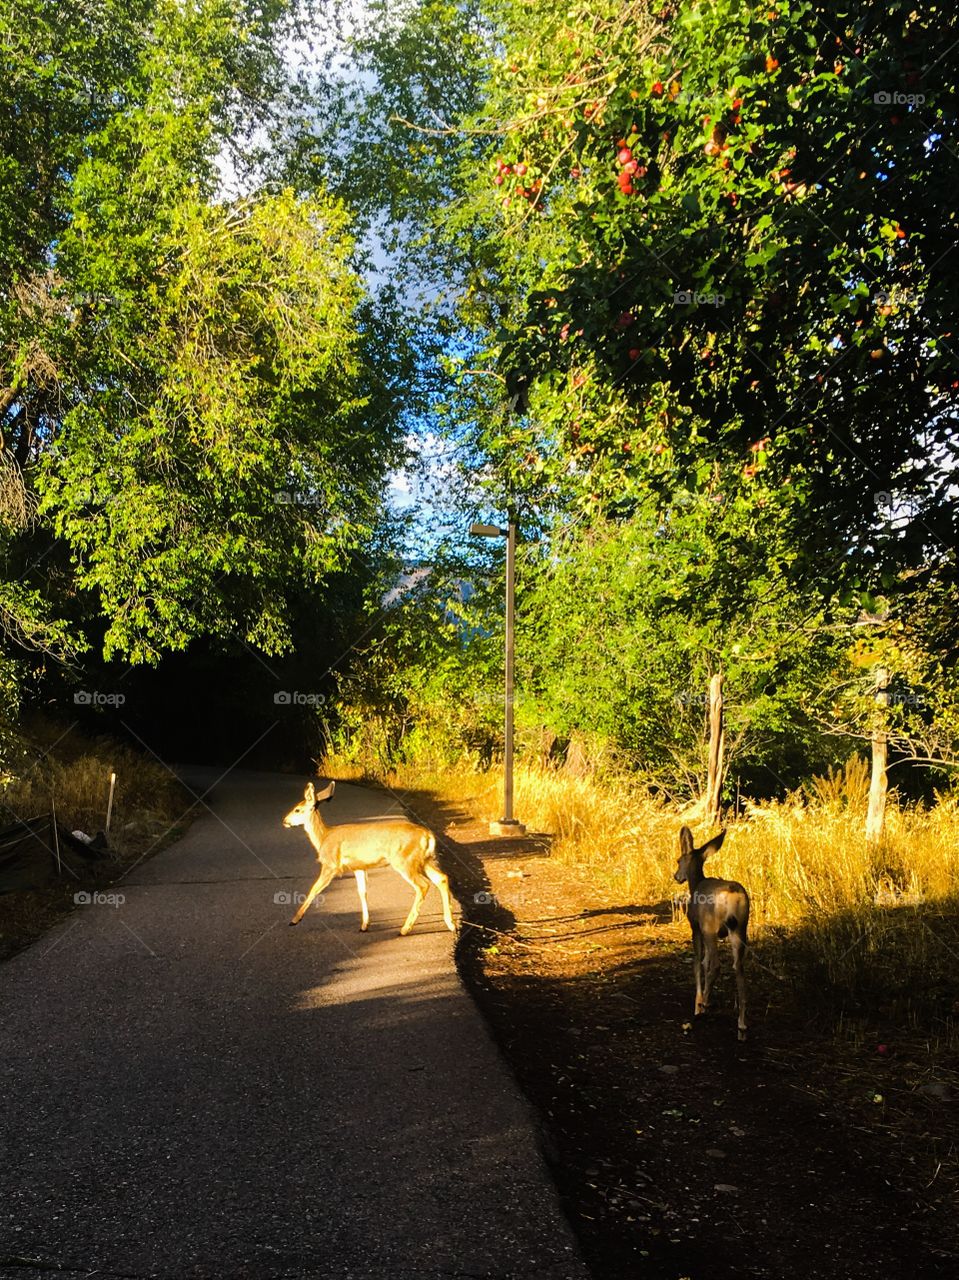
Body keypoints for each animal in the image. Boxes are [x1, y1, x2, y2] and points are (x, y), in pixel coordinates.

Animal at [280, 773, 455, 936]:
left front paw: (294, 920)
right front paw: (364, 925)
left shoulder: (331, 864)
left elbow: (314, 889)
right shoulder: (359, 867)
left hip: (404, 860)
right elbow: (362, 892)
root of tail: (428, 835)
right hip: (423, 860)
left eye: (297, 809)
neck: (324, 837)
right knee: (441, 878)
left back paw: (405, 929)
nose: (284, 821)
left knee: (423, 885)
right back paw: (451, 924)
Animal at [670, 829, 747, 1039]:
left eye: (679, 860)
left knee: (716, 965)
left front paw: (697, 1004)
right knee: (738, 967)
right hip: (740, 927)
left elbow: (698, 962)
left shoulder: (695, 927)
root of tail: (733, 896)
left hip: (710, 926)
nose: (676, 876)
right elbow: (704, 962)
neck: (696, 883)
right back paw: (742, 1025)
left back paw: (704, 1005)